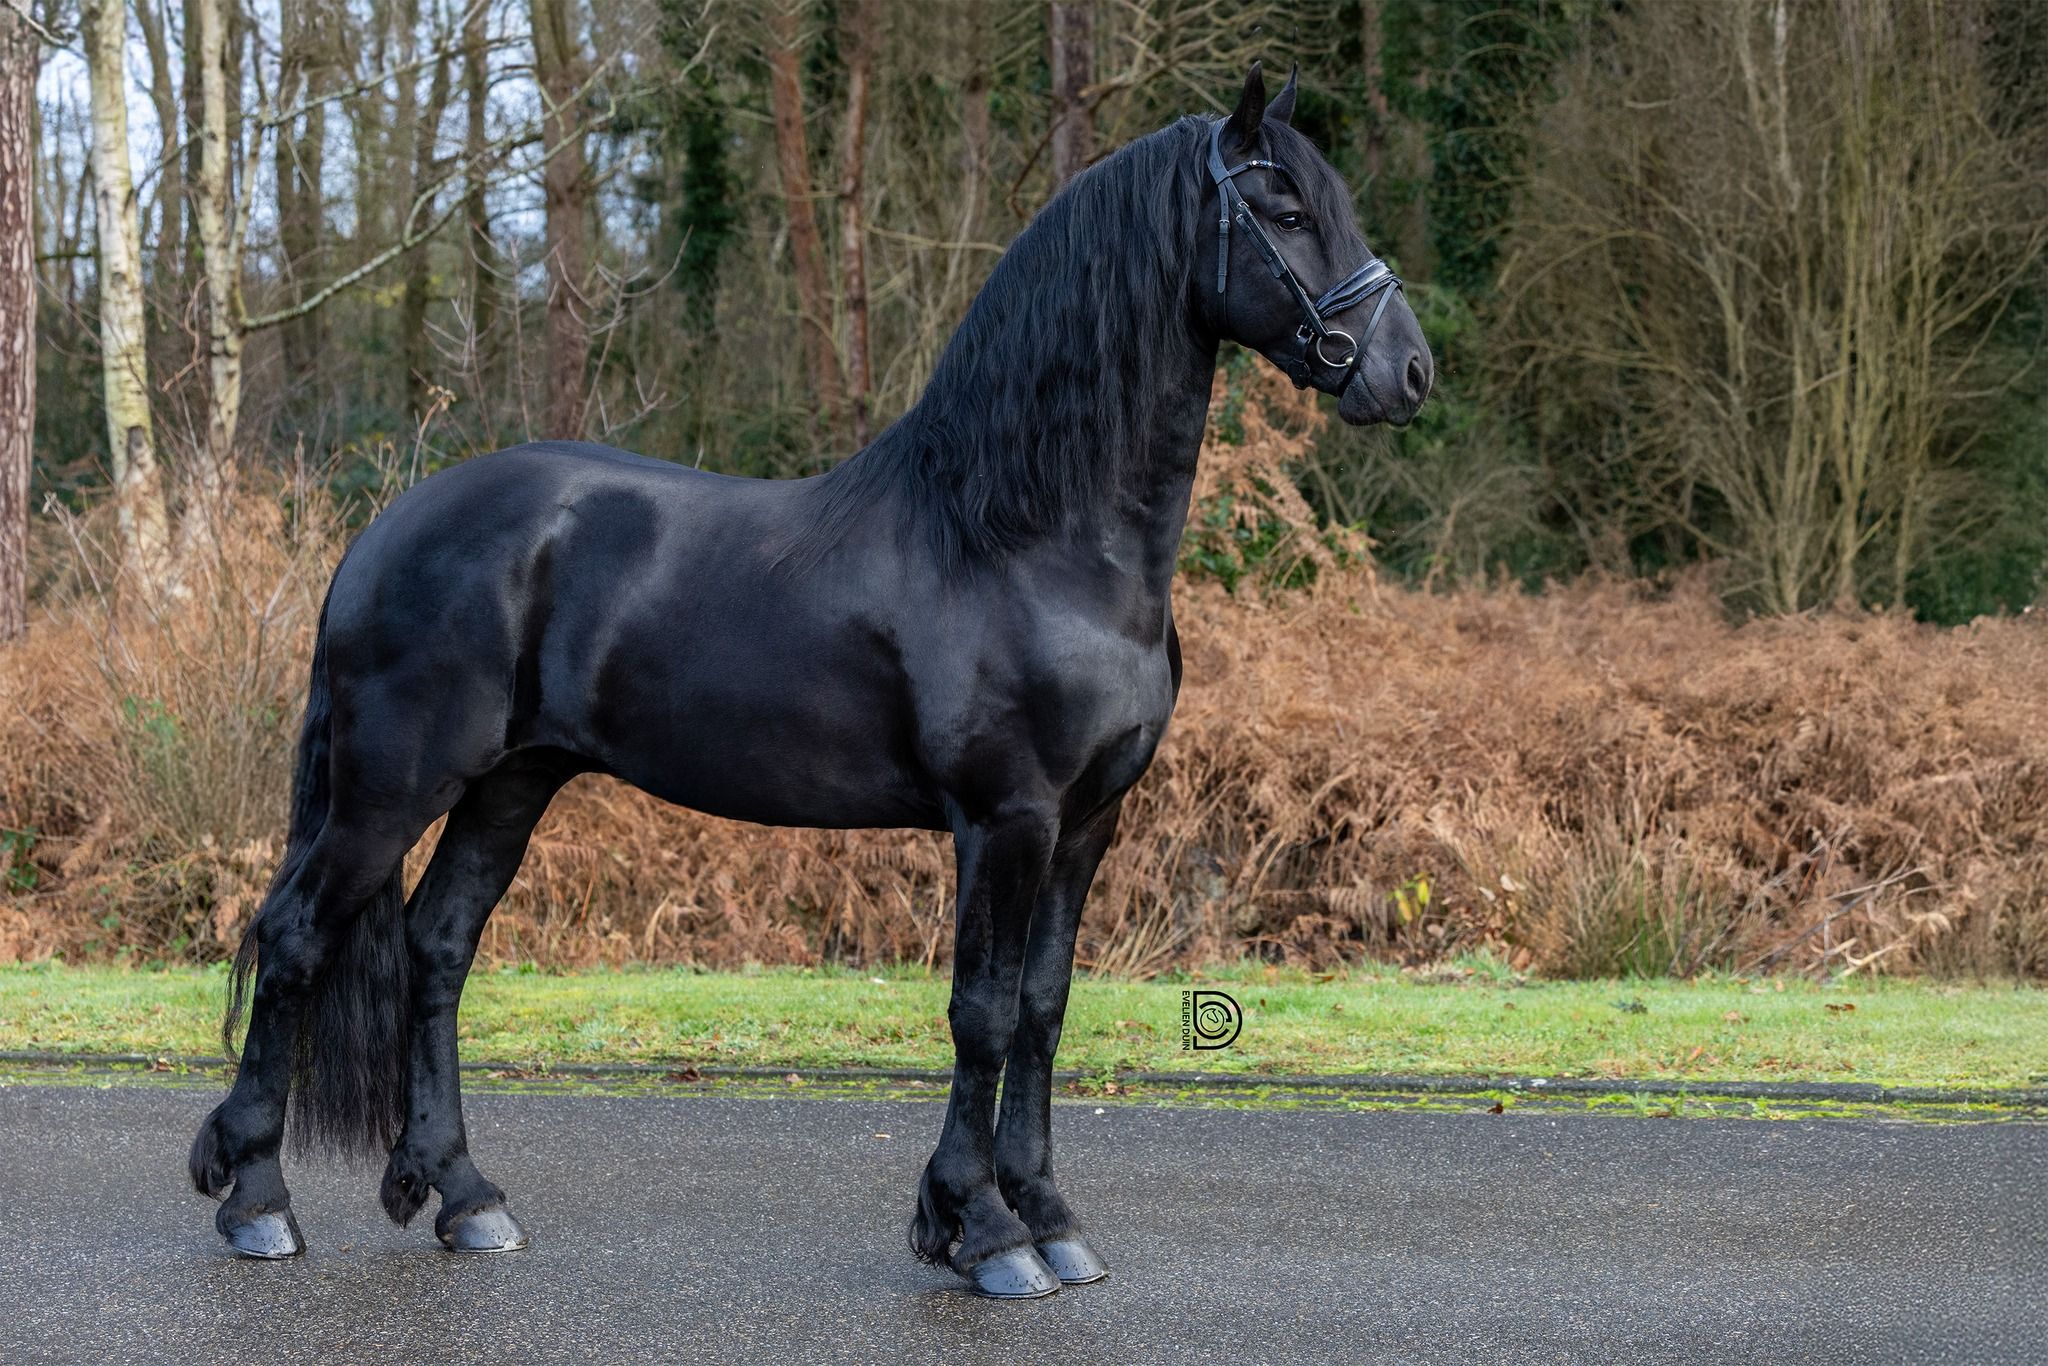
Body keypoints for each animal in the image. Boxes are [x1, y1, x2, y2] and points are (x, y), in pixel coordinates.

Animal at [187, 63, 1431, 1299]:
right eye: (1282, 210)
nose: (1405, 370)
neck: (1025, 540)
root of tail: (383, 531)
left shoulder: (1086, 825)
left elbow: (1042, 1010)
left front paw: (1046, 1216)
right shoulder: (1006, 818)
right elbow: (981, 1013)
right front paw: (983, 1230)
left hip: (510, 782)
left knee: (436, 949)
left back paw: (464, 1196)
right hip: (392, 788)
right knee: (294, 937)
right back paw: (256, 1199)